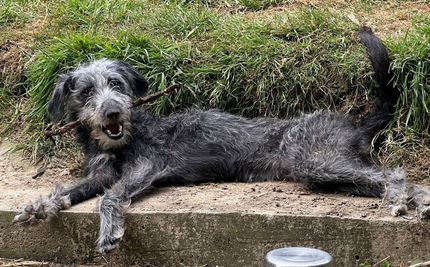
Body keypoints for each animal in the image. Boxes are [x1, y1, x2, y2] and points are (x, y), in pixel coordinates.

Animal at [13, 28, 430, 254]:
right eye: (85, 92)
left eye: (116, 84)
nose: (113, 112)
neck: (119, 141)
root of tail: (351, 124)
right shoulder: (99, 174)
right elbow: (70, 189)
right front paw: (38, 207)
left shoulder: (148, 164)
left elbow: (110, 196)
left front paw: (109, 230)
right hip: (329, 169)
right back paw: (415, 201)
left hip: (313, 159)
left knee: (393, 173)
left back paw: (399, 199)